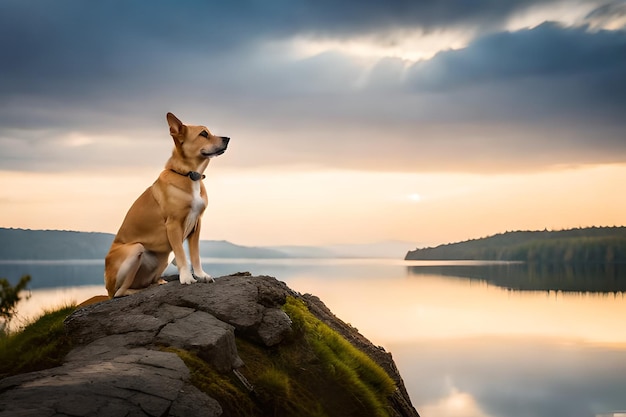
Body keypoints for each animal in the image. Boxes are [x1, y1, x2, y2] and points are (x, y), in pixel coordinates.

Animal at [103, 112, 230, 298]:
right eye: (203, 133)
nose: (227, 138)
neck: (189, 175)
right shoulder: (173, 225)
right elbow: (182, 254)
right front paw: (186, 278)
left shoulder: (197, 224)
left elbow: (195, 255)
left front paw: (201, 275)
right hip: (136, 250)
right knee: (120, 292)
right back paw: (134, 291)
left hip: (162, 259)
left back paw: (157, 283)